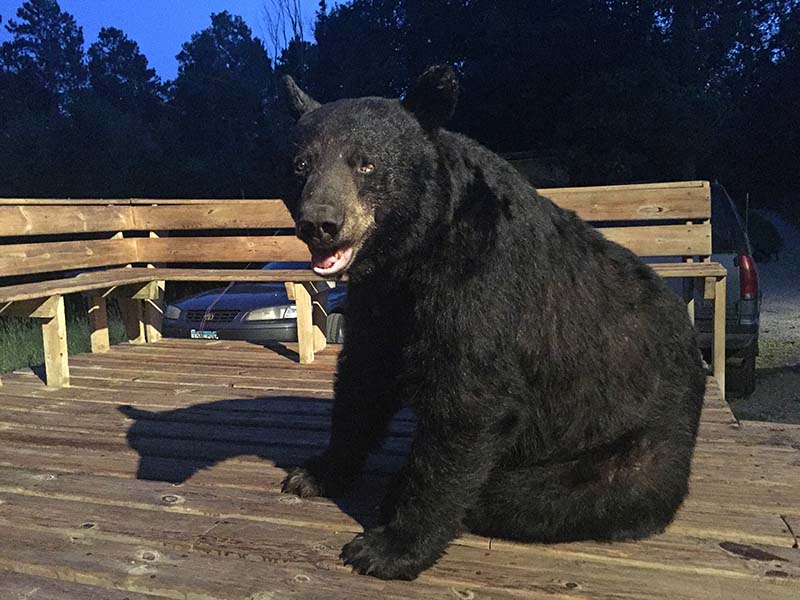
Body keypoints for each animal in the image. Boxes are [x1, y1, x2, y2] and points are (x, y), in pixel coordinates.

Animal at [279, 65, 706, 580]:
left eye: (366, 164)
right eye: (301, 164)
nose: (320, 223)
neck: (414, 256)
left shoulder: (484, 284)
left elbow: (471, 404)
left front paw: (389, 547)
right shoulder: (383, 300)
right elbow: (364, 379)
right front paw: (316, 472)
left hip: (628, 448)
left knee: (533, 495)